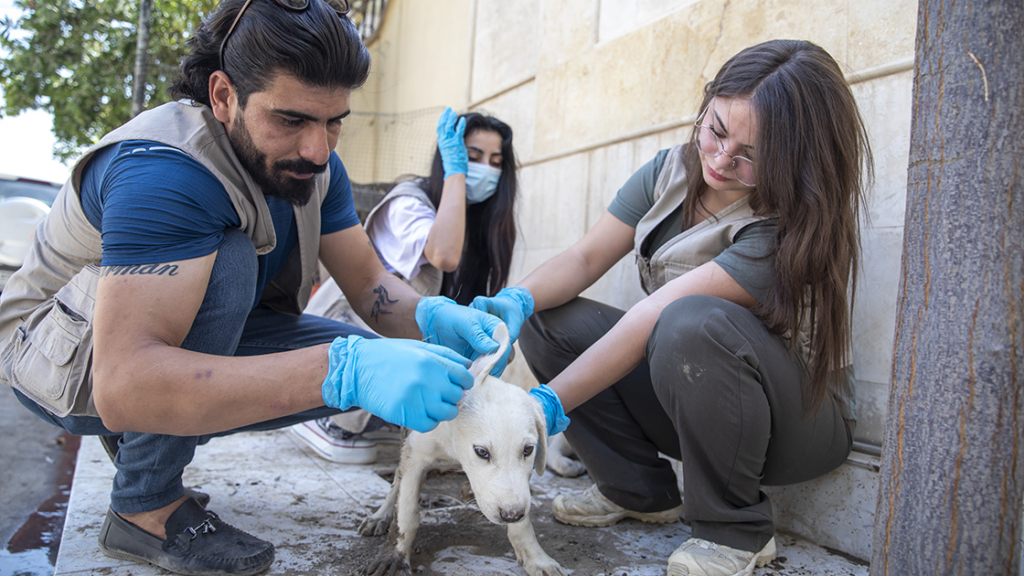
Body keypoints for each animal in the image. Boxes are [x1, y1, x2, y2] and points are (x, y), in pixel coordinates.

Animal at [358, 323, 569, 573]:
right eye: (481, 452)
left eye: (528, 450)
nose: (510, 515)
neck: (451, 443)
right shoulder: (415, 454)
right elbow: (406, 512)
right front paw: (394, 557)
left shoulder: (519, 487)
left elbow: (522, 514)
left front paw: (535, 557)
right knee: (397, 480)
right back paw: (380, 516)